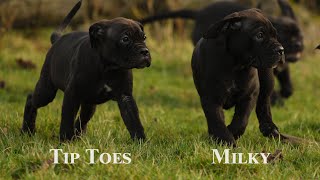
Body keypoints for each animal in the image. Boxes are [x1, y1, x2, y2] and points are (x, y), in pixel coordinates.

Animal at [21, 0, 151, 141]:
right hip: (46, 91)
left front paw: (141, 142)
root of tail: (57, 40)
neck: (107, 67)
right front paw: (65, 140)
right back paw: (27, 130)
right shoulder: (72, 94)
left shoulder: (125, 97)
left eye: (144, 37)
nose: (145, 51)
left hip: (89, 104)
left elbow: (134, 121)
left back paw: (79, 137)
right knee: (31, 99)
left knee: (82, 119)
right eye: (125, 39)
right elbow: (67, 118)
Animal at [139, 0, 302, 103]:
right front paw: (277, 99)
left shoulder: (282, 66)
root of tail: (199, 12)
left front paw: (285, 93)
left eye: (300, 35)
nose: (299, 44)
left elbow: (287, 82)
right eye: (287, 36)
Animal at [190, 8, 298, 146]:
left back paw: (269, 128)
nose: (281, 49)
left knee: (264, 103)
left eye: (275, 34)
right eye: (259, 35)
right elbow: (217, 121)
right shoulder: (211, 99)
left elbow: (241, 119)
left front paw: (231, 132)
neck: (234, 65)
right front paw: (226, 140)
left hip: (267, 80)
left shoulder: (249, 95)